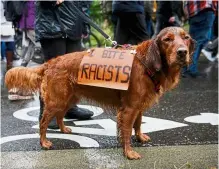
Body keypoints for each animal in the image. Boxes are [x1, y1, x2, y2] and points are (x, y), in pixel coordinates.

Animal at [4, 27, 193, 159]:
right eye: (167, 40)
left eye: (186, 38)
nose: (182, 52)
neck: (147, 62)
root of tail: (50, 62)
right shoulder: (129, 109)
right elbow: (126, 131)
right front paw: (129, 152)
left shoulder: (138, 106)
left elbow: (138, 124)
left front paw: (140, 137)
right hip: (57, 100)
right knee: (43, 122)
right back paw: (44, 142)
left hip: (69, 99)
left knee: (60, 116)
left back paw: (64, 129)